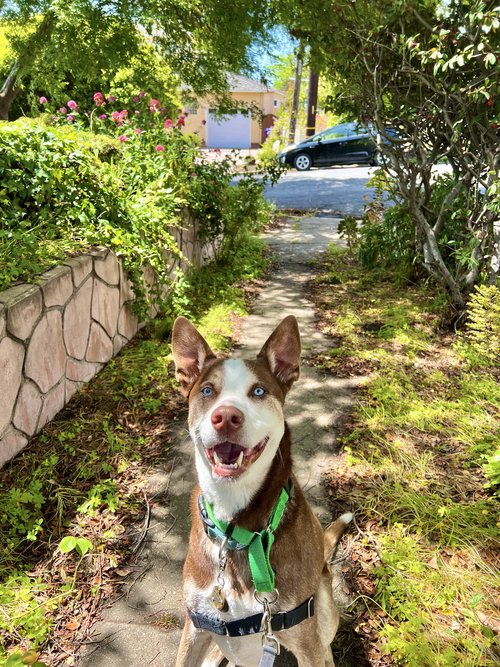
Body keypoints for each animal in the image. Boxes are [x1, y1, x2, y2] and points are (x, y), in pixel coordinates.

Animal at [172, 314, 352, 667]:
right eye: (207, 390)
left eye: (258, 391)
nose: (226, 416)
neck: (237, 530)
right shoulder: (195, 626)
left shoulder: (303, 635)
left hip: (323, 607)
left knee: (326, 646)